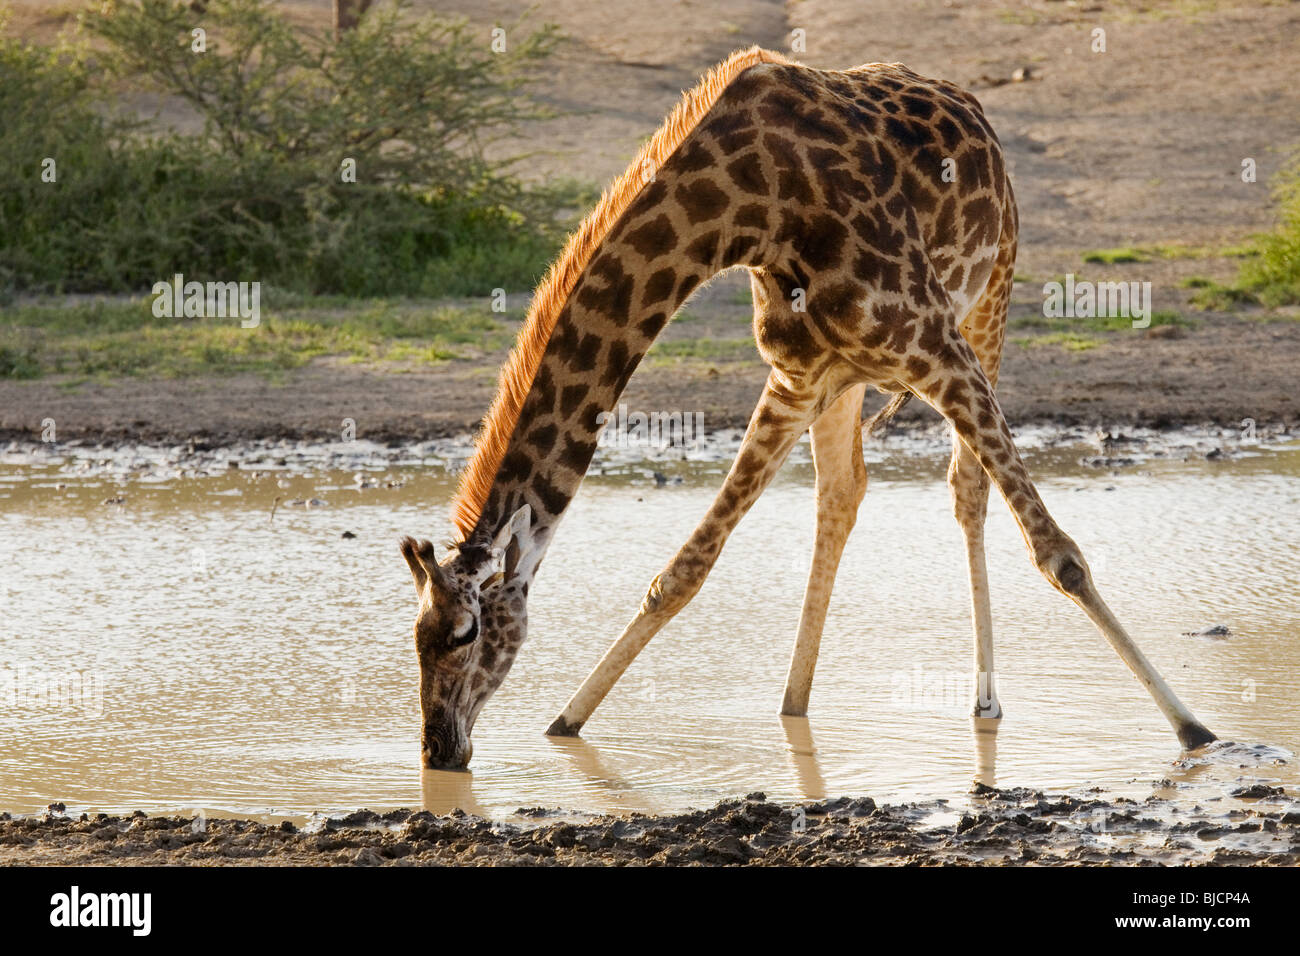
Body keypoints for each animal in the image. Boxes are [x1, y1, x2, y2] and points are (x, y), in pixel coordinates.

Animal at [400, 48, 1211, 775]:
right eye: (416, 635)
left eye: (465, 633)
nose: (439, 749)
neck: (746, 208)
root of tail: (970, 104)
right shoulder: (796, 376)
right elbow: (684, 569)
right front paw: (566, 724)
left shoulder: (934, 343)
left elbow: (1059, 555)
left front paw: (1194, 730)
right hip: (851, 375)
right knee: (844, 492)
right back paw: (795, 706)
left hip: (992, 294)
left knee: (966, 488)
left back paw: (984, 703)